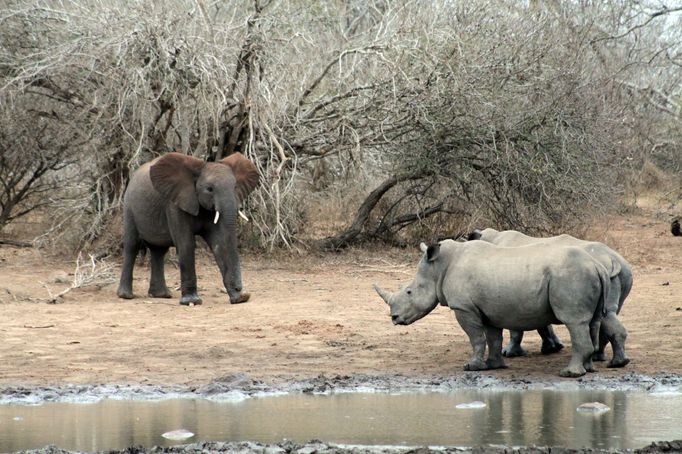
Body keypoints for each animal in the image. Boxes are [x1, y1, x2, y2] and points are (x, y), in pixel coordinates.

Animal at [117, 152, 258, 306]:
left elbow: (220, 243)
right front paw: (192, 301)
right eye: (209, 189)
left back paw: (161, 295)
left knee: (158, 251)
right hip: (129, 206)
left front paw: (239, 299)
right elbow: (186, 244)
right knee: (132, 245)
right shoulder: (175, 204)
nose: (240, 289)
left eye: (235, 187)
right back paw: (125, 296)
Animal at [374, 239, 608, 378]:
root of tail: (597, 264)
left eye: (409, 292)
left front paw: (471, 367)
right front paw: (494, 365)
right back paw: (588, 369)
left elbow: (476, 338)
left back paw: (569, 373)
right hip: (581, 274)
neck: (438, 268)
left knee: (574, 322)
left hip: (570, 276)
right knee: (591, 322)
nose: (394, 317)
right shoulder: (487, 309)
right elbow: (493, 337)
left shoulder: (464, 308)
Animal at [464, 227, 628, 368]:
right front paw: (553, 348)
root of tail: (612, 260)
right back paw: (611, 360)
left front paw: (510, 353)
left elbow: (517, 327)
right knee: (606, 314)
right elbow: (542, 323)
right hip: (623, 272)